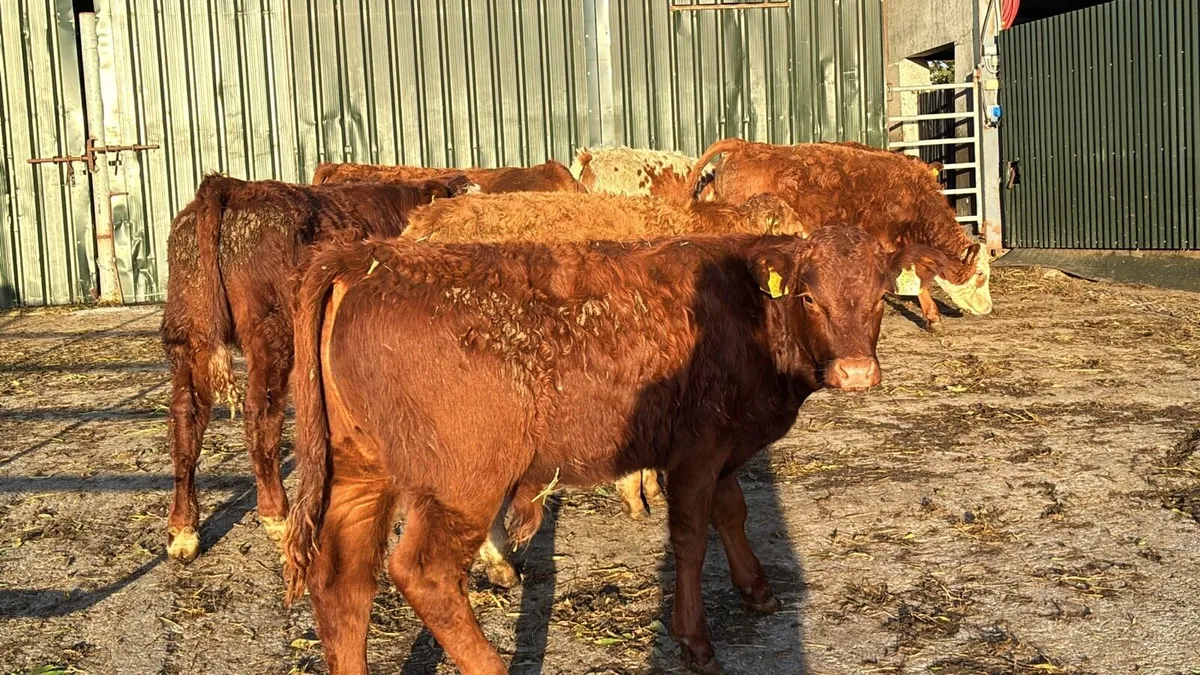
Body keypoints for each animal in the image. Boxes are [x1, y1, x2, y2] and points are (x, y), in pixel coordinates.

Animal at [160, 172, 472, 563]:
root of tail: (233, 186)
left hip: (188, 335)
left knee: (187, 416)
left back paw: (183, 530)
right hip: (271, 334)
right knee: (260, 415)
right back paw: (277, 516)